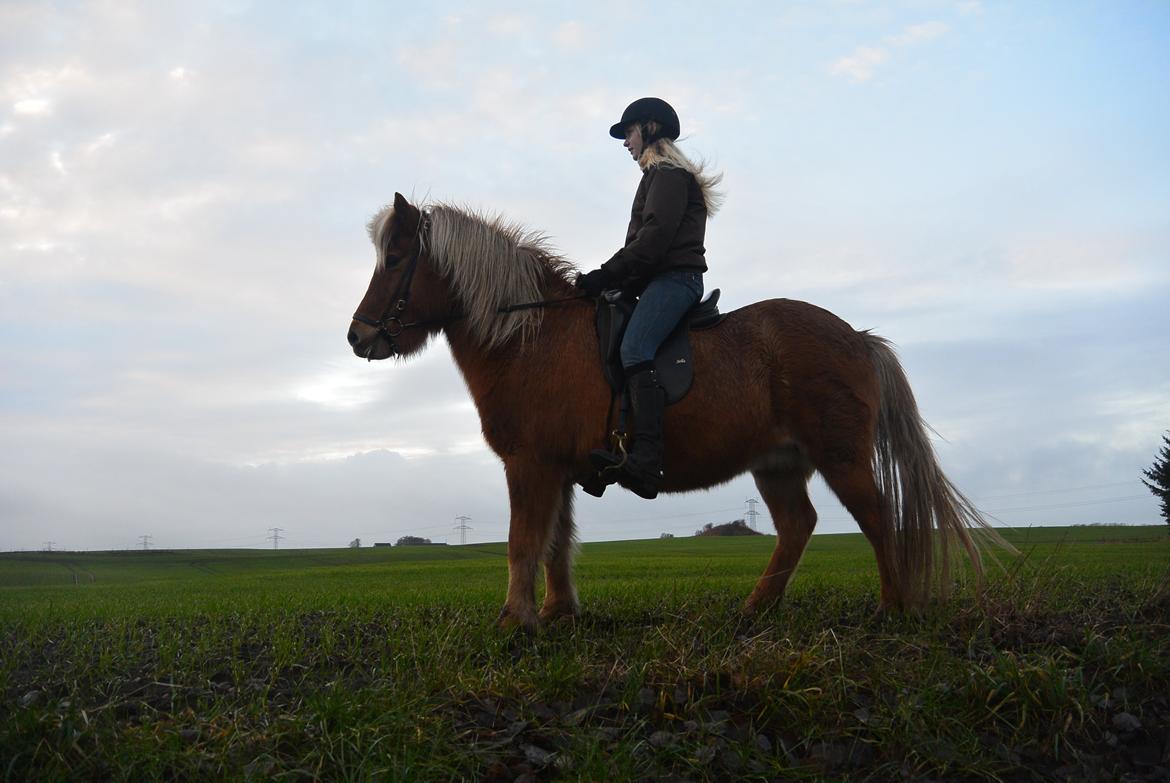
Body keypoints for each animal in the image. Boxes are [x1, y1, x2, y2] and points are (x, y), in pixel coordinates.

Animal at [347, 192, 1004, 632]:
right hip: (778, 463)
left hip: (840, 456)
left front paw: (516, 621)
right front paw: (558, 612)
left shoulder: (529, 465)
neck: (530, 335)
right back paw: (755, 609)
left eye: (396, 258)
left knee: (876, 515)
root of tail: (858, 338)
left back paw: (893, 607)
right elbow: (556, 541)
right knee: (798, 525)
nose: (358, 336)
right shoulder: (557, 469)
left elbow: (522, 540)